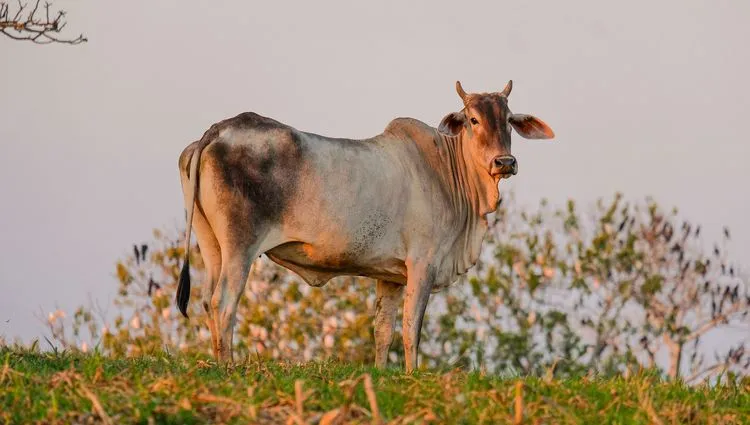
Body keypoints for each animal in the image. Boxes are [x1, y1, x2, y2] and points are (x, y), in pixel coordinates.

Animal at [173, 79, 556, 372]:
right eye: (473, 120)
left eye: (509, 120)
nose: (504, 162)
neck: (447, 169)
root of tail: (219, 130)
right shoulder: (423, 263)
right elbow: (411, 328)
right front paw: (413, 374)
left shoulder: (390, 276)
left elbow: (383, 330)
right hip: (241, 246)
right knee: (224, 302)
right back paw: (228, 367)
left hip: (212, 246)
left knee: (207, 300)